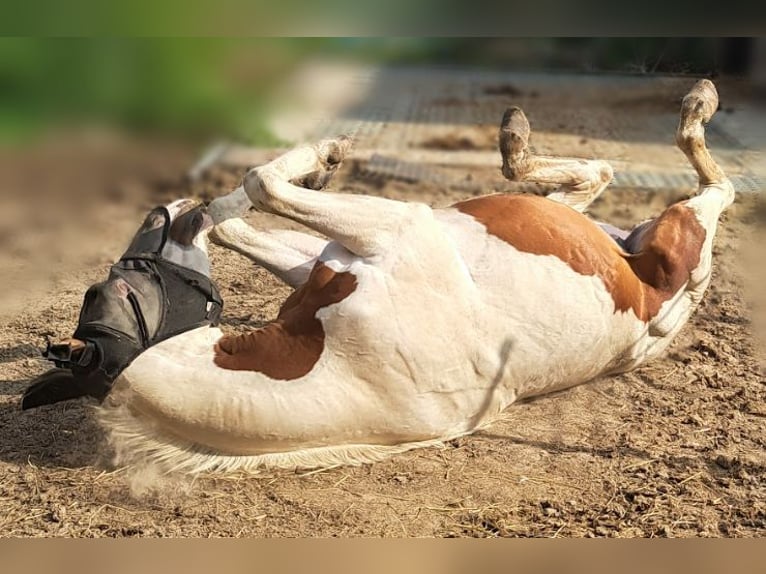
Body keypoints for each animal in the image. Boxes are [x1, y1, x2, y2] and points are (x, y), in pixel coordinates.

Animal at [27, 81, 740, 476]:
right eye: (110, 289)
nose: (161, 209)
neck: (343, 364)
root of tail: (668, 299)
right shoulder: (385, 234)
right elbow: (258, 188)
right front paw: (316, 157)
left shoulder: (348, 248)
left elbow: (246, 203)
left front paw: (304, 165)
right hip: (673, 231)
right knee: (685, 182)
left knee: (615, 179)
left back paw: (525, 135)